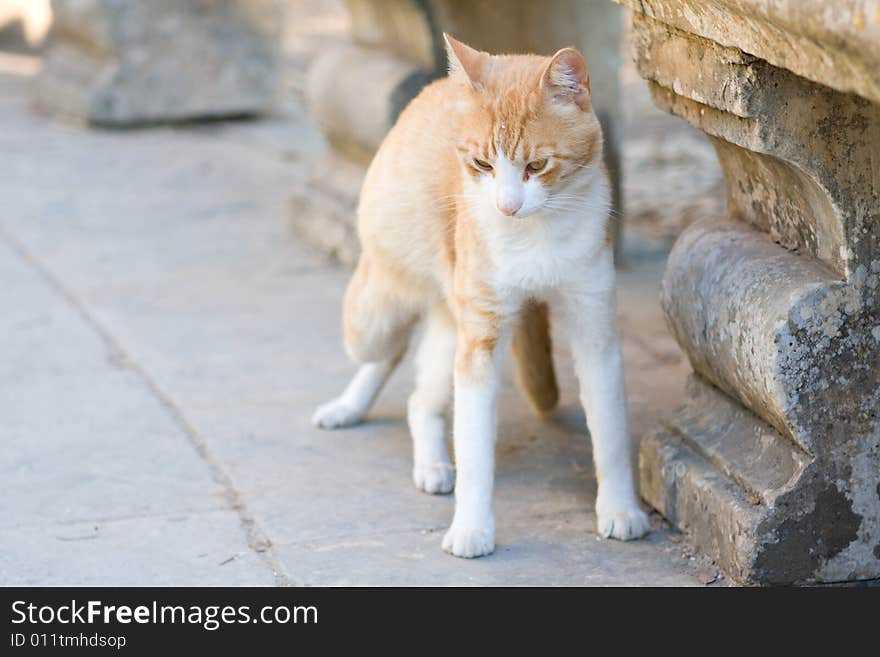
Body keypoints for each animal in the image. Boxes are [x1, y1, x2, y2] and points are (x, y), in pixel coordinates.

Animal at [312, 34, 648, 560]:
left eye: (536, 166)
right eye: (482, 164)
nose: (506, 206)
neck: (536, 236)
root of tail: (431, 90)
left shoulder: (595, 328)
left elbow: (610, 432)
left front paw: (620, 508)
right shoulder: (481, 344)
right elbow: (474, 451)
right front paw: (472, 528)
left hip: (450, 320)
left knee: (419, 396)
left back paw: (429, 461)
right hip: (380, 310)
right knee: (385, 349)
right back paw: (350, 407)